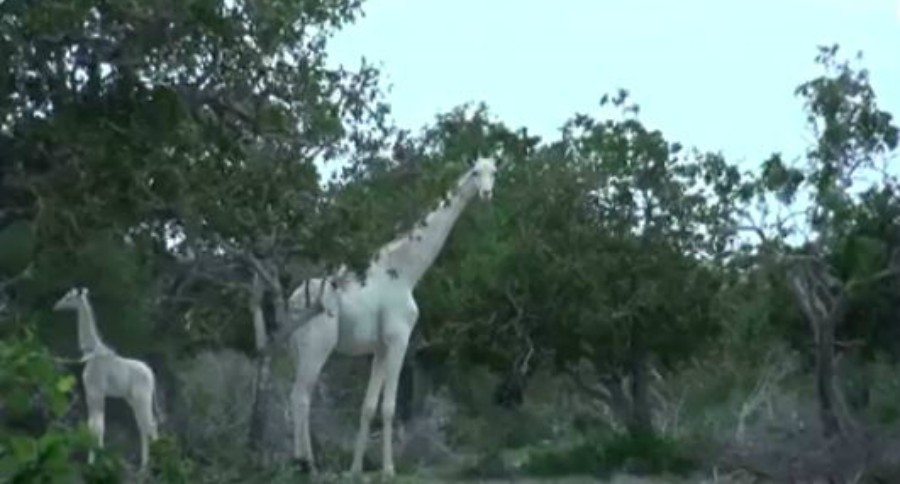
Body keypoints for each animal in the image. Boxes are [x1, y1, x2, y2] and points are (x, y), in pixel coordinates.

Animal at [53, 287, 159, 469]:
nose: (56, 305)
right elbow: (93, 425)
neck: (91, 351)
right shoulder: (91, 391)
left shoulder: (95, 390)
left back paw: (151, 466)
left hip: (142, 396)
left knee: (150, 425)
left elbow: (97, 426)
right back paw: (144, 466)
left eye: (69, 297)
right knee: (144, 426)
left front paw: (94, 461)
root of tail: (151, 375)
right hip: (131, 398)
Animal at [286, 157, 498, 477]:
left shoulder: (380, 347)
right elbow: (389, 406)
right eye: (475, 172)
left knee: (297, 395)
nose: (486, 194)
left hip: (298, 348)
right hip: (317, 345)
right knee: (301, 396)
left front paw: (356, 469)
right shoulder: (399, 338)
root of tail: (293, 300)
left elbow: (368, 406)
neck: (406, 272)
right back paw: (306, 465)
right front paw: (388, 469)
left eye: (493, 172)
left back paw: (301, 462)